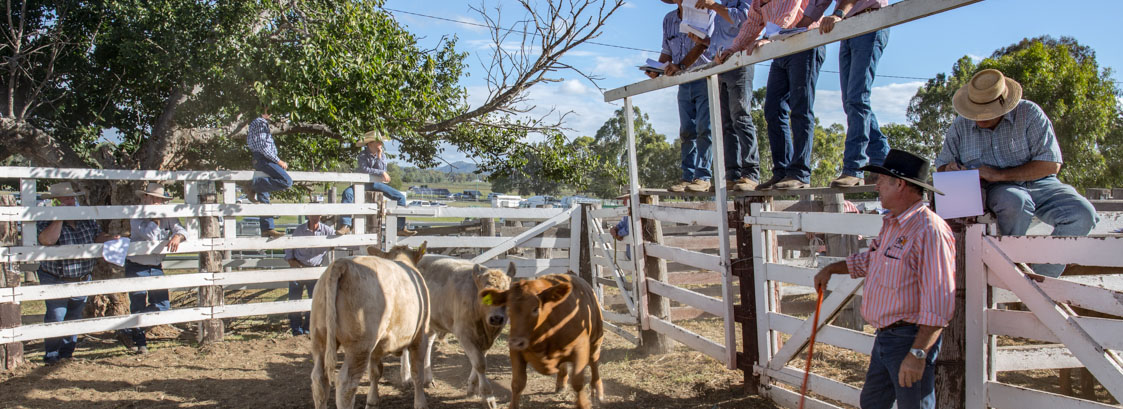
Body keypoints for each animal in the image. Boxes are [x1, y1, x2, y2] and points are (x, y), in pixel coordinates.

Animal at [309, 242, 431, 409]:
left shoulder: (377, 346)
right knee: (346, 384)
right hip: (359, 346)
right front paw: (421, 403)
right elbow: (417, 372)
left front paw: (372, 401)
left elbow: (375, 372)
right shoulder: (421, 335)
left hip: (319, 338)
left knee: (319, 380)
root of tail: (342, 263)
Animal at [395, 253, 516, 406]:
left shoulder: (488, 339)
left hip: (432, 322)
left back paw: (428, 379)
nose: (496, 318)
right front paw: (488, 397)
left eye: (507, 294)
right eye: (484, 294)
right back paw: (406, 378)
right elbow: (480, 363)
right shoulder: (464, 334)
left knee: (428, 345)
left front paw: (472, 388)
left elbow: (479, 362)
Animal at [480, 271, 606, 409]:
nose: (515, 342)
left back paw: (598, 391)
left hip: (596, 339)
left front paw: (583, 403)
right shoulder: (516, 352)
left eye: (535, 308)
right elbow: (518, 383)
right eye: (508, 308)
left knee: (594, 362)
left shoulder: (580, 348)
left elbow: (577, 381)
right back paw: (561, 383)